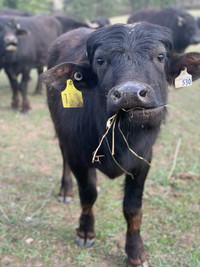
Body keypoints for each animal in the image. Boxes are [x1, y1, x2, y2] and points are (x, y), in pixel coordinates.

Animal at [41, 24, 200, 266]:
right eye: (100, 60)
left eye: (160, 56)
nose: (130, 94)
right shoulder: (76, 156)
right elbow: (87, 195)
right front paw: (85, 232)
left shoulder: (143, 161)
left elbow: (132, 208)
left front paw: (135, 252)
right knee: (64, 161)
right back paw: (66, 190)